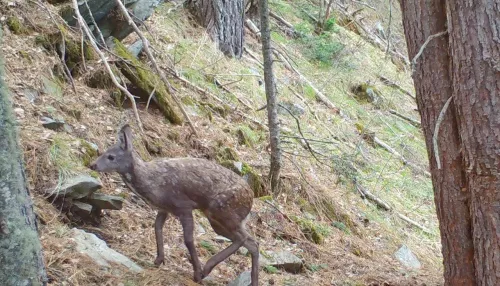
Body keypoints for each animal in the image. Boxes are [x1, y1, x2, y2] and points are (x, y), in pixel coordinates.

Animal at [90, 124, 260, 284]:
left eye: (111, 156)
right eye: (104, 152)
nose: (92, 165)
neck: (152, 183)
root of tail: (251, 196)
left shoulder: (183, 205)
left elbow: (188, 239)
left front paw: (196, 273)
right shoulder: (164, 208)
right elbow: (157, 228)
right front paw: (158, 260)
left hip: (222, 210)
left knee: (244, 239)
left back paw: (206, 269)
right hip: (221, 218)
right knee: (252, 242)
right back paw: (252, 281)